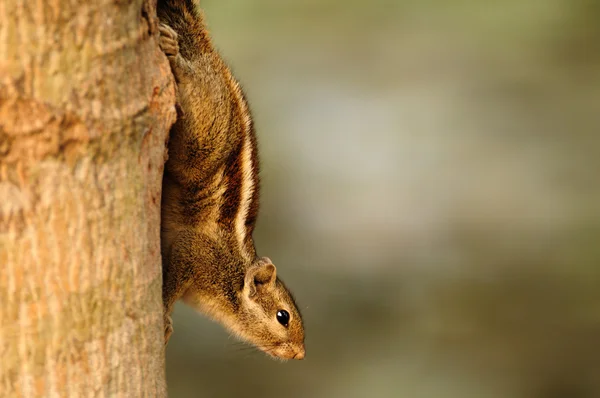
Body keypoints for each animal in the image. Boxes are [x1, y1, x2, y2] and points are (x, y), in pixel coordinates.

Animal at [156, 0, 304, 360]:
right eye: (283, 316)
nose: (300, 353)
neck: (236, 272)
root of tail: (207, 50)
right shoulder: (194, 255)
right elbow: (171, 285)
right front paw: (164, 317)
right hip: (207, 131)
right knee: (192, 80)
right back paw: (174, 53)